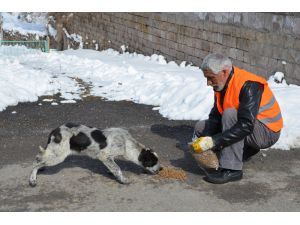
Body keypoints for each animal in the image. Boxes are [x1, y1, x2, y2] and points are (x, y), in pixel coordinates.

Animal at [29, 123, 161, 186]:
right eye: (153, 161)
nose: (161, 169)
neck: (126, 142)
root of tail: (55, 130)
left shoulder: (109, 157)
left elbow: (113, 167)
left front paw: (112, 173)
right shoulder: (103, 156)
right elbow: (117, 168)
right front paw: (123, 180)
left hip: (54, 152)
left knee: (39, 156)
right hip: (59, 156)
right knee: (36, 162)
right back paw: (32, 180)